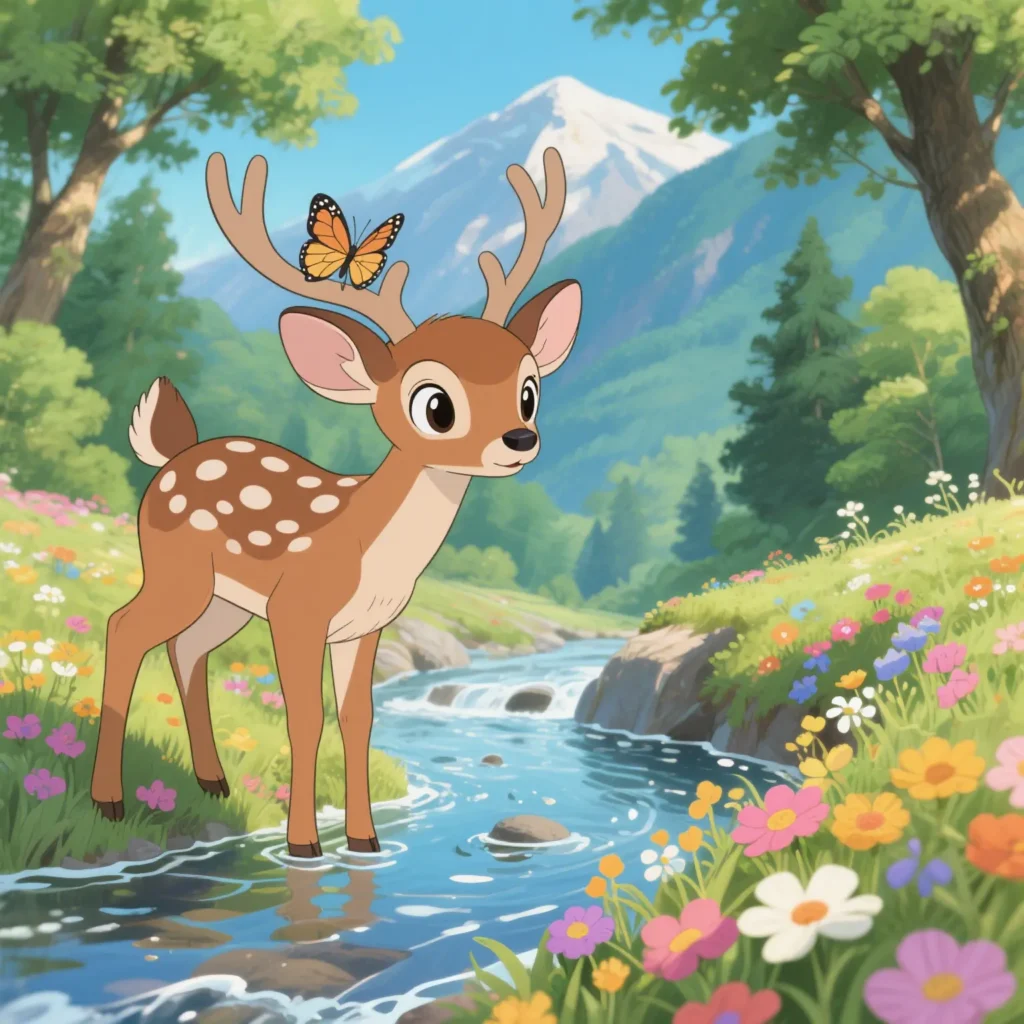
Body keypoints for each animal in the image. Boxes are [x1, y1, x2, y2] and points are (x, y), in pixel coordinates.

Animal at [90, 146, 582, 858]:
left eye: (529, 390)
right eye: (436, 404)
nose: (520, 440)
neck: (367, 548)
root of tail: (171, 456)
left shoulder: (365, 626)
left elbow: (358, 718)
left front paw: (366, 840)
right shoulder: (297, 610)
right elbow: (306, 717)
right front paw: (304, 845)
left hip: (226, 599)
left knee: (188, 649)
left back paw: (213, 781)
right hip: (174, 568)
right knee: (124, 628)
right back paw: (109, 800)